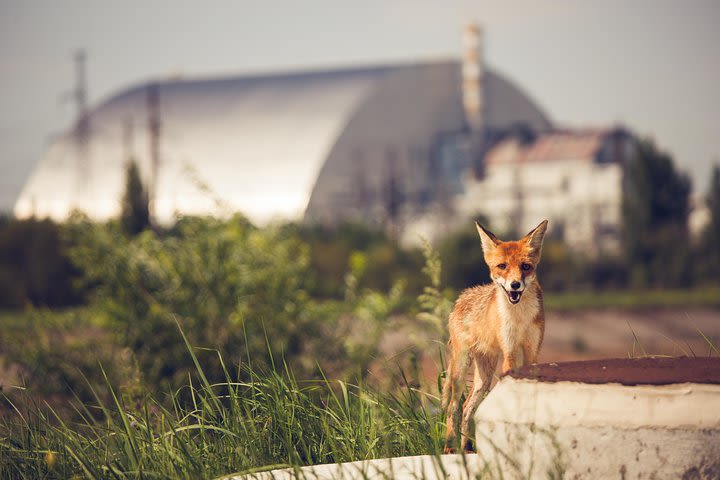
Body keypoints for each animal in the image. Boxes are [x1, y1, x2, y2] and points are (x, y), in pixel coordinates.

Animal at [442, 219, 548, 452]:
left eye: (525, 267)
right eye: (502, 266)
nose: (515, 285)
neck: (519, 318)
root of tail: (461, 298)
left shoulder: (532, 352)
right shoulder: (509, 351)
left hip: (485, 376)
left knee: (466, 407)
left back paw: (467, 449)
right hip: (461, 369)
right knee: (453, 406)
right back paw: (450, 448)